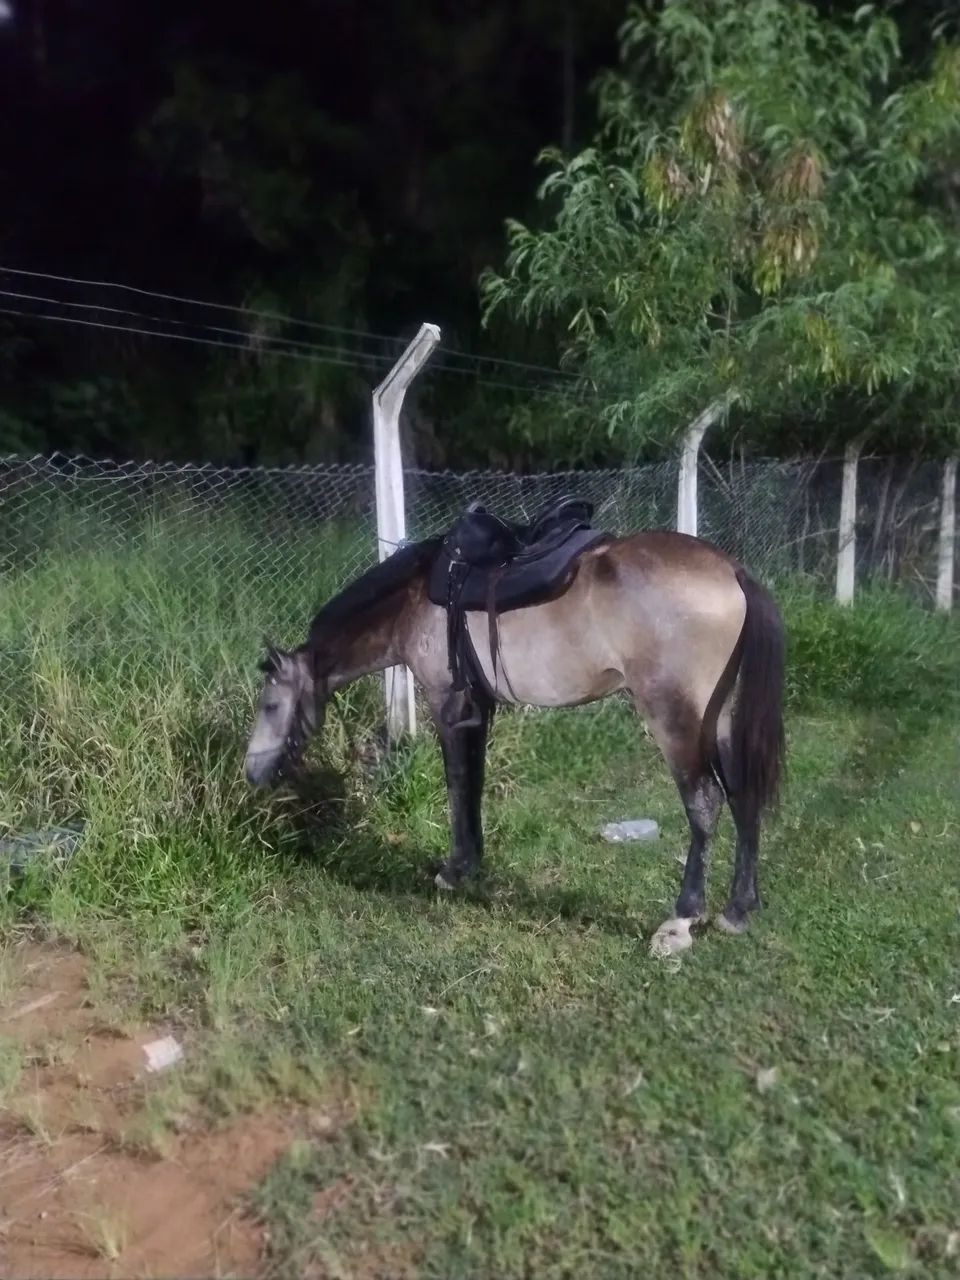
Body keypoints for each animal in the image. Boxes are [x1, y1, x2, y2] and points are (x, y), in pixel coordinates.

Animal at [243, 530, 785, 955]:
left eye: (269, 705)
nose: (252, 773)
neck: (416, 599)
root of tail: (732, 571)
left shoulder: (446, 703)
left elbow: (457, 782)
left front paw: (453, 871)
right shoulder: (478, 707)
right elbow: (474, 785)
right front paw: (471, 867)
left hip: (674, 720)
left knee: (705, 803)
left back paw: (680, 921)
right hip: (718, 719)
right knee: (743, 796)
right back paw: (737, 911)